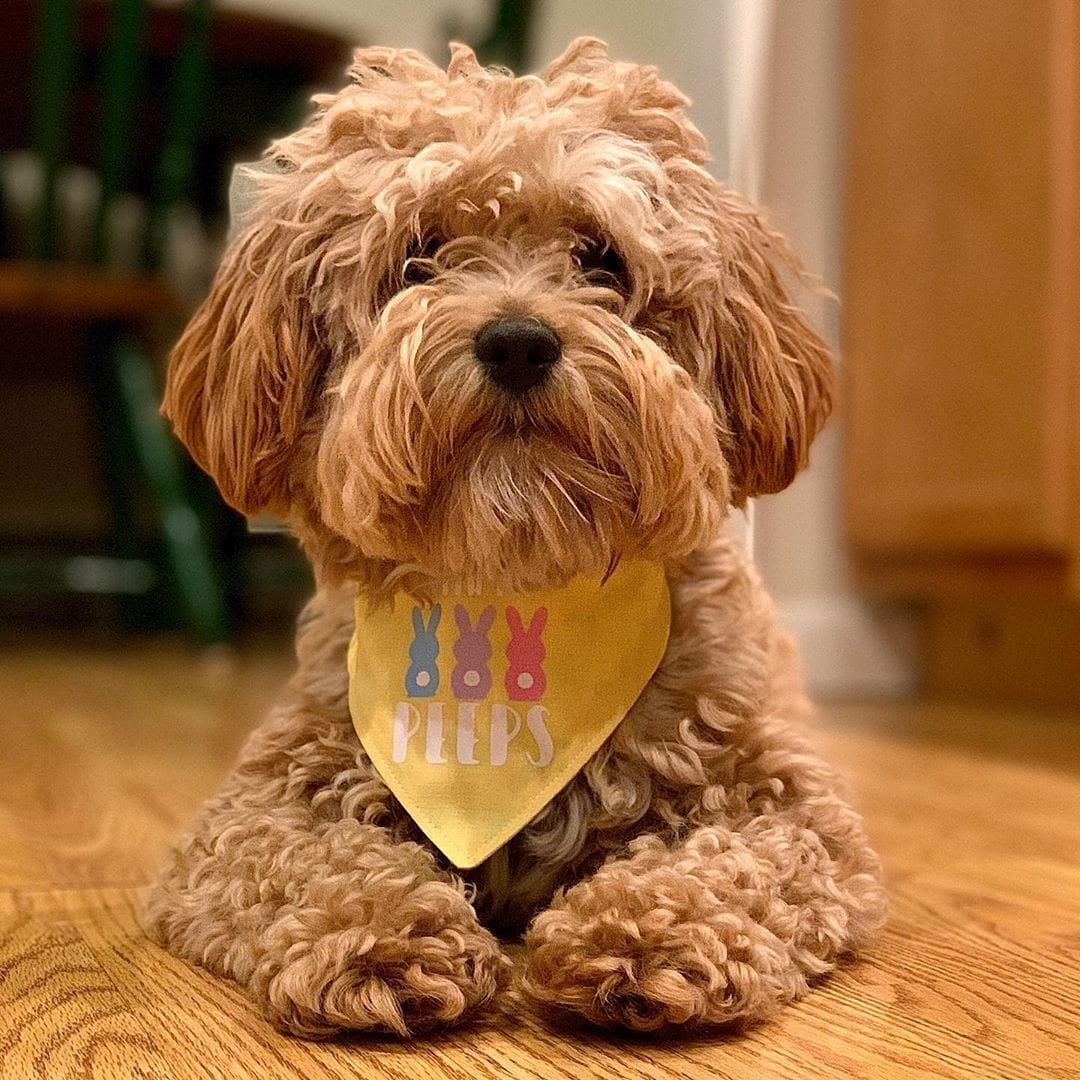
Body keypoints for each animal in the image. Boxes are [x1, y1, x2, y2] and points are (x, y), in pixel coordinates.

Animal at [145, 39, 885, 1036]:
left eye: (601, 258)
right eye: (418, 257)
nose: (519, 341)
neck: (515, 587)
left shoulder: (793, 808)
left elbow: (738, 865)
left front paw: (643, 931)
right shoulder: (254, 807)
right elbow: (296, 862)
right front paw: (383, 931)